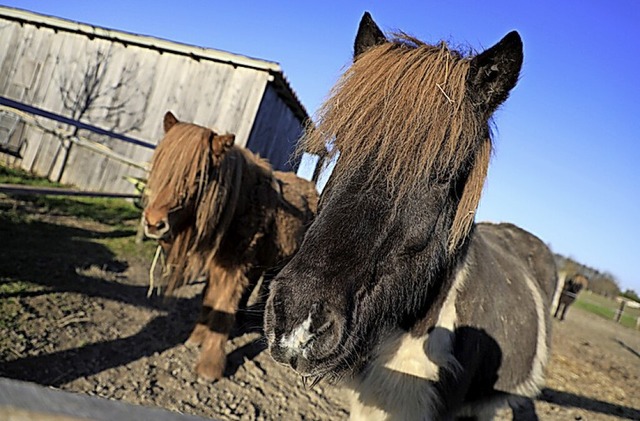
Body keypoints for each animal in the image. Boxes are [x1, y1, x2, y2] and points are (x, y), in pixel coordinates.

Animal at [143, 110, 318, 378]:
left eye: (198, 176)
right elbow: (210, 300)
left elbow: (223, 307)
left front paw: (210, 365)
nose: (154, 223)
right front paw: (198, 337)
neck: (239, 205)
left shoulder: (234, 267)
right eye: (161, 165)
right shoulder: (220, 264)